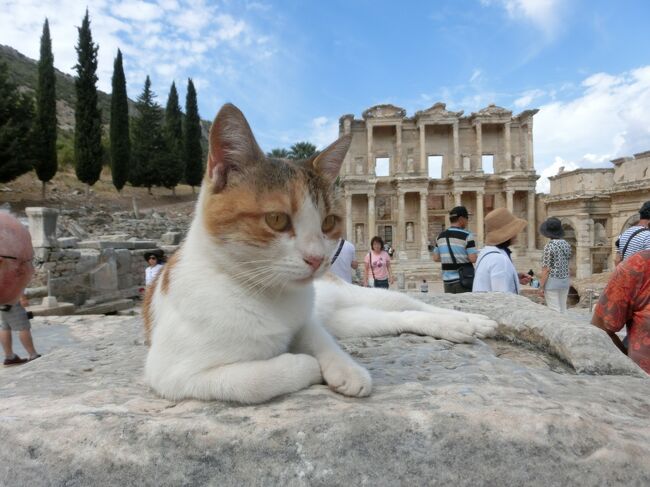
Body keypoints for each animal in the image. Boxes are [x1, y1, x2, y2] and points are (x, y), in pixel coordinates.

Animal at [143, 102, 496, 404]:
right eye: (276, 219)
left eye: (328, 222)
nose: (317, 259)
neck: (265, 295)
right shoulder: (173, 375)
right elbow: (253, 381)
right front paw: (308, 365)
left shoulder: (308, 323)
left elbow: (324, 345)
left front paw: (348, 370)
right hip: (349, 319)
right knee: (399, 318)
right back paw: (460, 328)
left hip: (359, 295)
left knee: (412, 304)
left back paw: (475, 321)